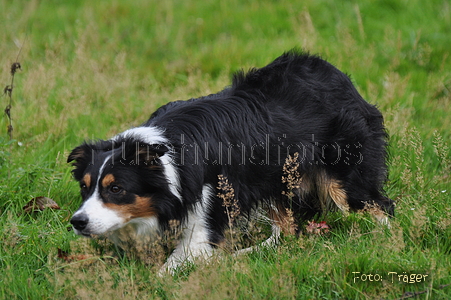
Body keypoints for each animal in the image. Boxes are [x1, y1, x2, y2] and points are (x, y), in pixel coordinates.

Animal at [68, 51, 396, 272]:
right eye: (85, 187)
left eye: (116, 189)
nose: (77, 222)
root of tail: (337, 74)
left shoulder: (210, 204)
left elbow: (179, 261)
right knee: (287, 230)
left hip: (344, 169)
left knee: (379, 205)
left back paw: (383, 241)